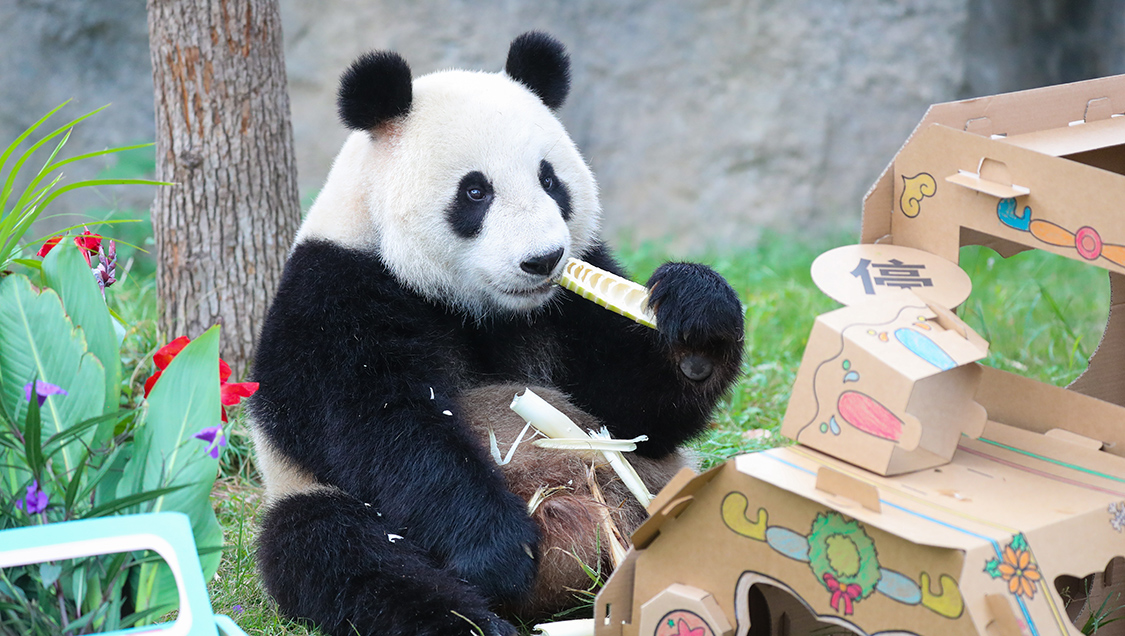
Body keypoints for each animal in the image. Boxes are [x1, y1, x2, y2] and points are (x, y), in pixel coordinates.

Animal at [250, 33, 747, 634]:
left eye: (550, 179)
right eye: (474, 192)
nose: (544, 260)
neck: (478, 306)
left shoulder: (569, 305)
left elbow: (638, 415)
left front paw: (696, 319)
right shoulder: (334, 296)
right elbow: (385, 428)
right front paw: (499, 551)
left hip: (654, 486)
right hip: (309, 498)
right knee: (341, 553)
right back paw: (470, 619)